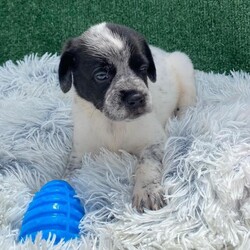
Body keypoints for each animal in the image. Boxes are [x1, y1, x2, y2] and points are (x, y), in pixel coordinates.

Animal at [59, 22, 197, 212]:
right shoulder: (80, 151)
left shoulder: (155, 141)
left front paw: (147, 190)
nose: (136, 98)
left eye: (143, 69)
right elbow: (70, 174)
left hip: (184, 67)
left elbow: (147, 163)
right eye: (101, 75)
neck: (112, 123)